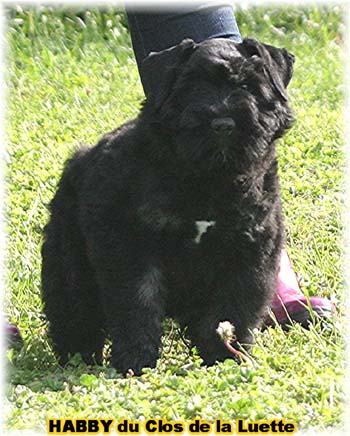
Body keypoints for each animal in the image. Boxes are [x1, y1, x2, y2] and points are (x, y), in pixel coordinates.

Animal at [41, 37, 296, 374]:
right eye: (190, 85)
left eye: (249, 85)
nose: (223, 123)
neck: (207, 179)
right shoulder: (132, 248)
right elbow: (137, 305)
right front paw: (136, 360)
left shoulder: (250, 251)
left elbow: (231, 309)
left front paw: (225, 356)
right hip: (70, 266)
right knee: (74, 311)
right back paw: (78, 357)